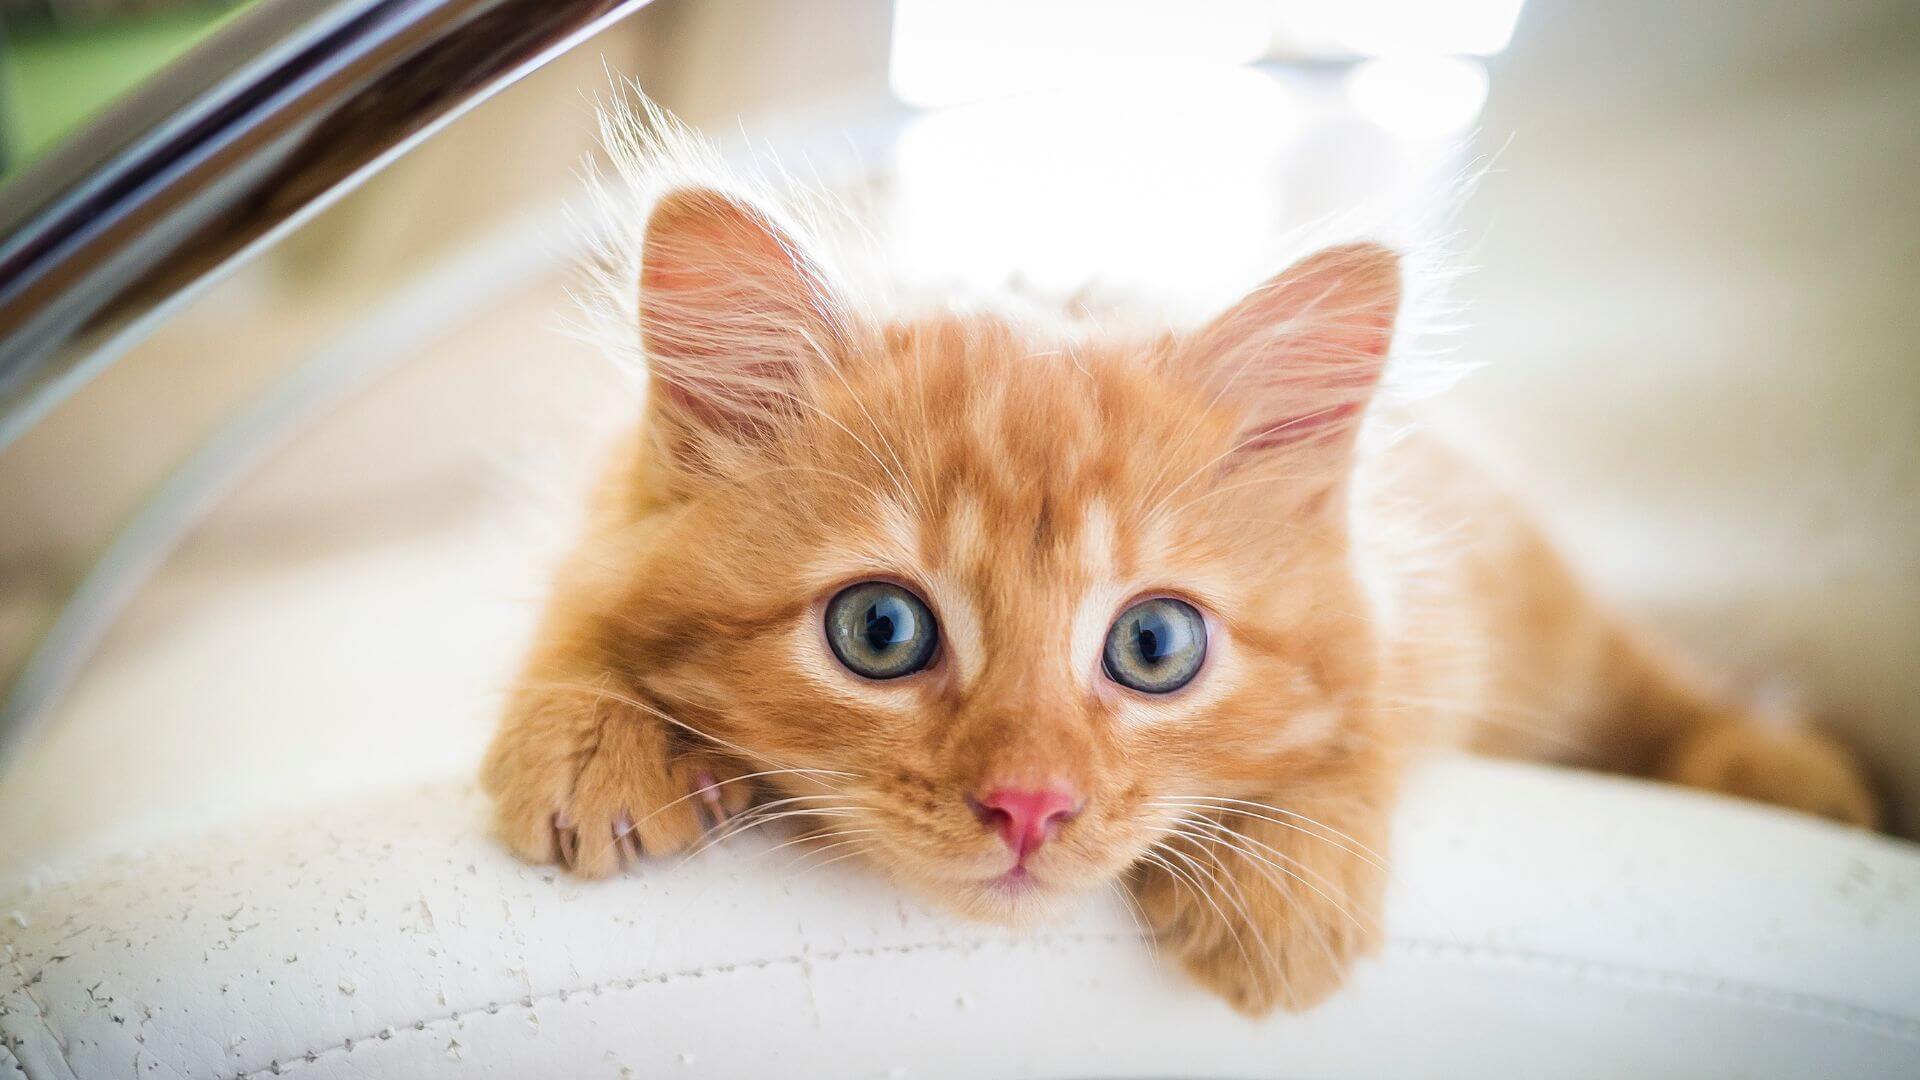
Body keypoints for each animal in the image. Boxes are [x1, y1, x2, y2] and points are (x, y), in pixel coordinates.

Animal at [480, 141, 1873, 1006]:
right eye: (880, 630)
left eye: (1155, 648)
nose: (1029, 806)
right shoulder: (605, 511)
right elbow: (581, 606)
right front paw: (587, 732)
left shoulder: (1424, 603)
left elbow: (1367, 709)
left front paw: (1284, 881)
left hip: (1546, 603)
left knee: (1650, 676)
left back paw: (1792, 776)